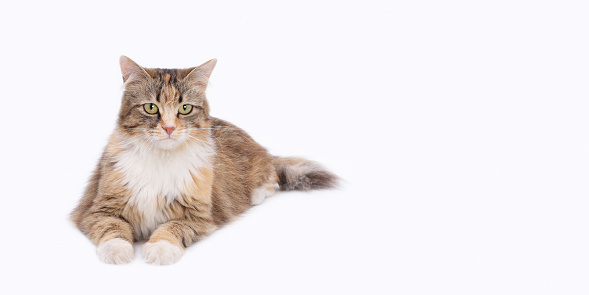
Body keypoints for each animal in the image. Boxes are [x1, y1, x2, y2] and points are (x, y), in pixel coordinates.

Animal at [70, 56, 338, 266]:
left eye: (185, 109)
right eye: (151, 108)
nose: (169, 128)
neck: (161, 158)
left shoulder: (198, 217)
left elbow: (170, 228)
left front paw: (159, 248)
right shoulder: (97, 209)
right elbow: (113, 229)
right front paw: (116, 250)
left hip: (260, 169)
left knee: (272, 178)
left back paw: (256, 194)